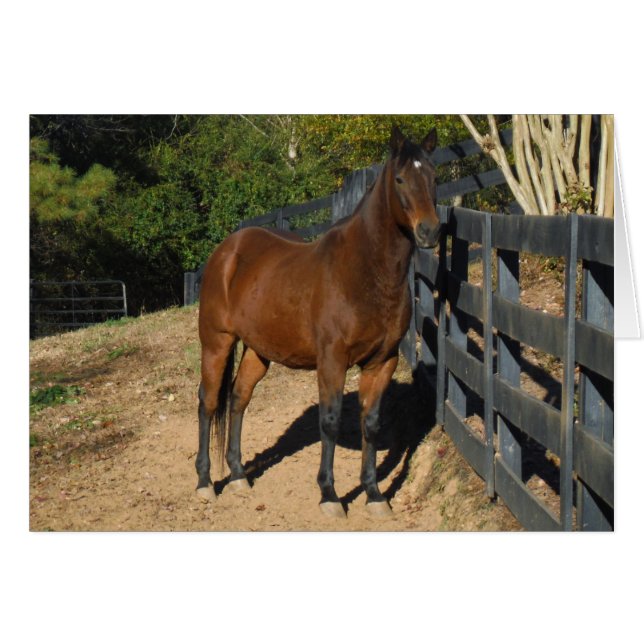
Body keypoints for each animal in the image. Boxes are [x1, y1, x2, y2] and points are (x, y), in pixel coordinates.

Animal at [195, 126, 442, 518]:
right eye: (400, 179)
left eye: (434, 177)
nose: (429, 232)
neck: (364, 272)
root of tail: (226, 251)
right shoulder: (332, 362)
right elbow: (330, 421)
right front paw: (329, 495)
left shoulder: (382, 362)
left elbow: (371, 424)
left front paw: (374, 494)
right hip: (216, 342)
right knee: (207, 402)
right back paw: (205, 483)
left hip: (258, 351)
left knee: (238, 398)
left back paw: (237, 477)